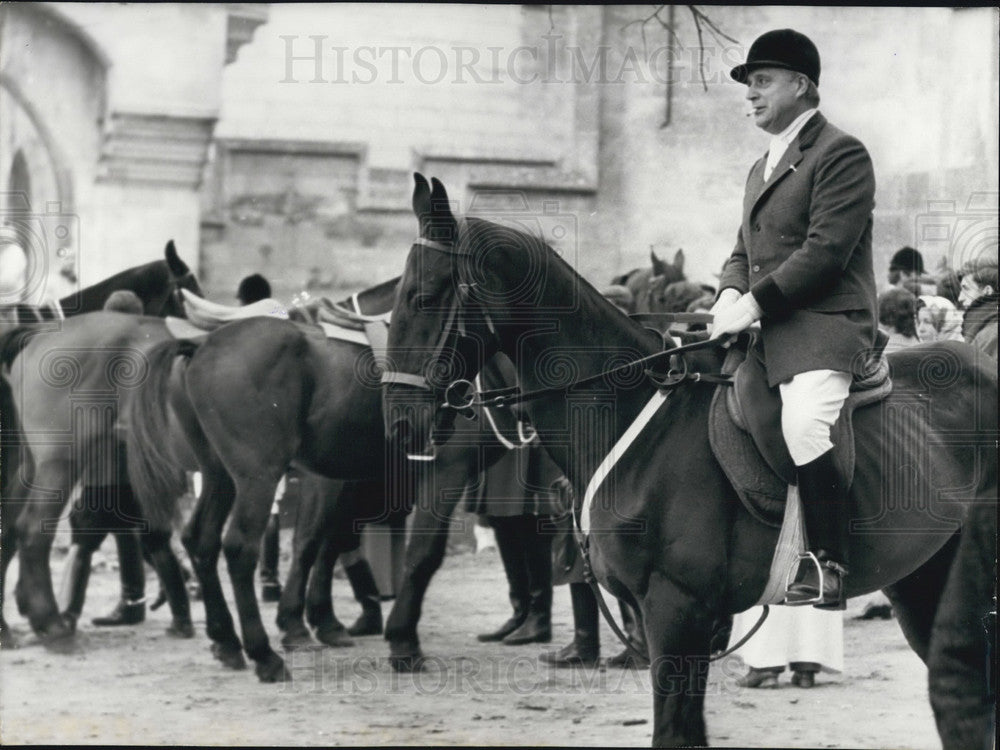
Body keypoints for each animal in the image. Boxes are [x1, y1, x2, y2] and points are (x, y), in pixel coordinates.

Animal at [378, 175, 996, 748]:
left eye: (425, 295)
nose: (399, 422)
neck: (633, 418)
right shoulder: (670, 617)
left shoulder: (678, 610)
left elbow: (672, 731)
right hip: (922, 579)